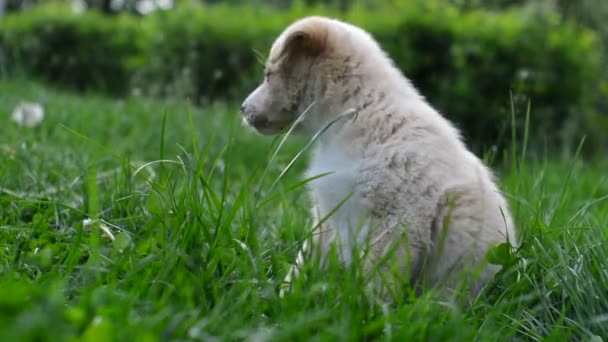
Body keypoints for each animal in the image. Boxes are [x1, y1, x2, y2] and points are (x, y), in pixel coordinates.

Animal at [240, 16, 516, 300]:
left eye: (268, 75)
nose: (242, 108)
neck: (358, 112)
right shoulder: (328, 213)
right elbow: (302, 264)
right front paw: (282, 300)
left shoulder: (399, 221)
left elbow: (376, 279)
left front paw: (360, 308)